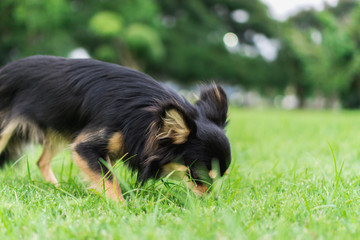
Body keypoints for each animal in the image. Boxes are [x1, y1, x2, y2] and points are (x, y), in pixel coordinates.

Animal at [0, 55, 231, 201]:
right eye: (200, 176)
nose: (213, 201)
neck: (147, 114)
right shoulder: (86, 146)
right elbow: (109, 180)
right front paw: (122, 207)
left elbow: (107, 176)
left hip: (60, 129)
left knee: (42, 161)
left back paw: (56, 188)